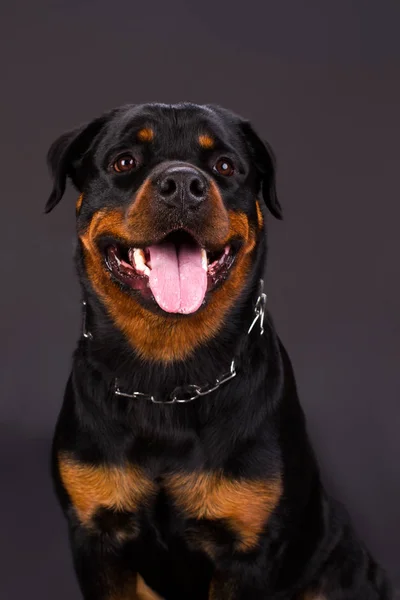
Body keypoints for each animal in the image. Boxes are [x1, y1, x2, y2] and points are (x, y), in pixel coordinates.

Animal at [46, 103, 390, 600]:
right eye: (124, 161)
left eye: (225, 166)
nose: (182, 185)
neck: (167, 378)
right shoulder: (96, 536)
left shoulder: (247, 549)